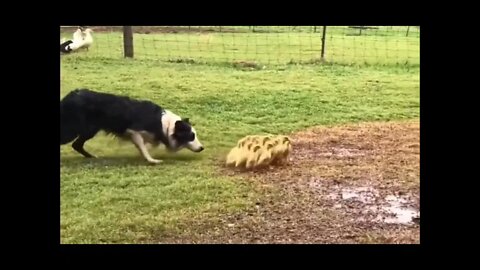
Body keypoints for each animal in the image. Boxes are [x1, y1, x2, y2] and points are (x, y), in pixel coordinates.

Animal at [60, 89, 204, 163]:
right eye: (191, 136)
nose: (202, 148)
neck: (165, 124)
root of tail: (69, 96)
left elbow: (145, 146)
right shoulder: (134, 131)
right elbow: (143, 147)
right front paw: (152, 160)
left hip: (89, 130)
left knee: (76, 145)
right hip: (73, 130)